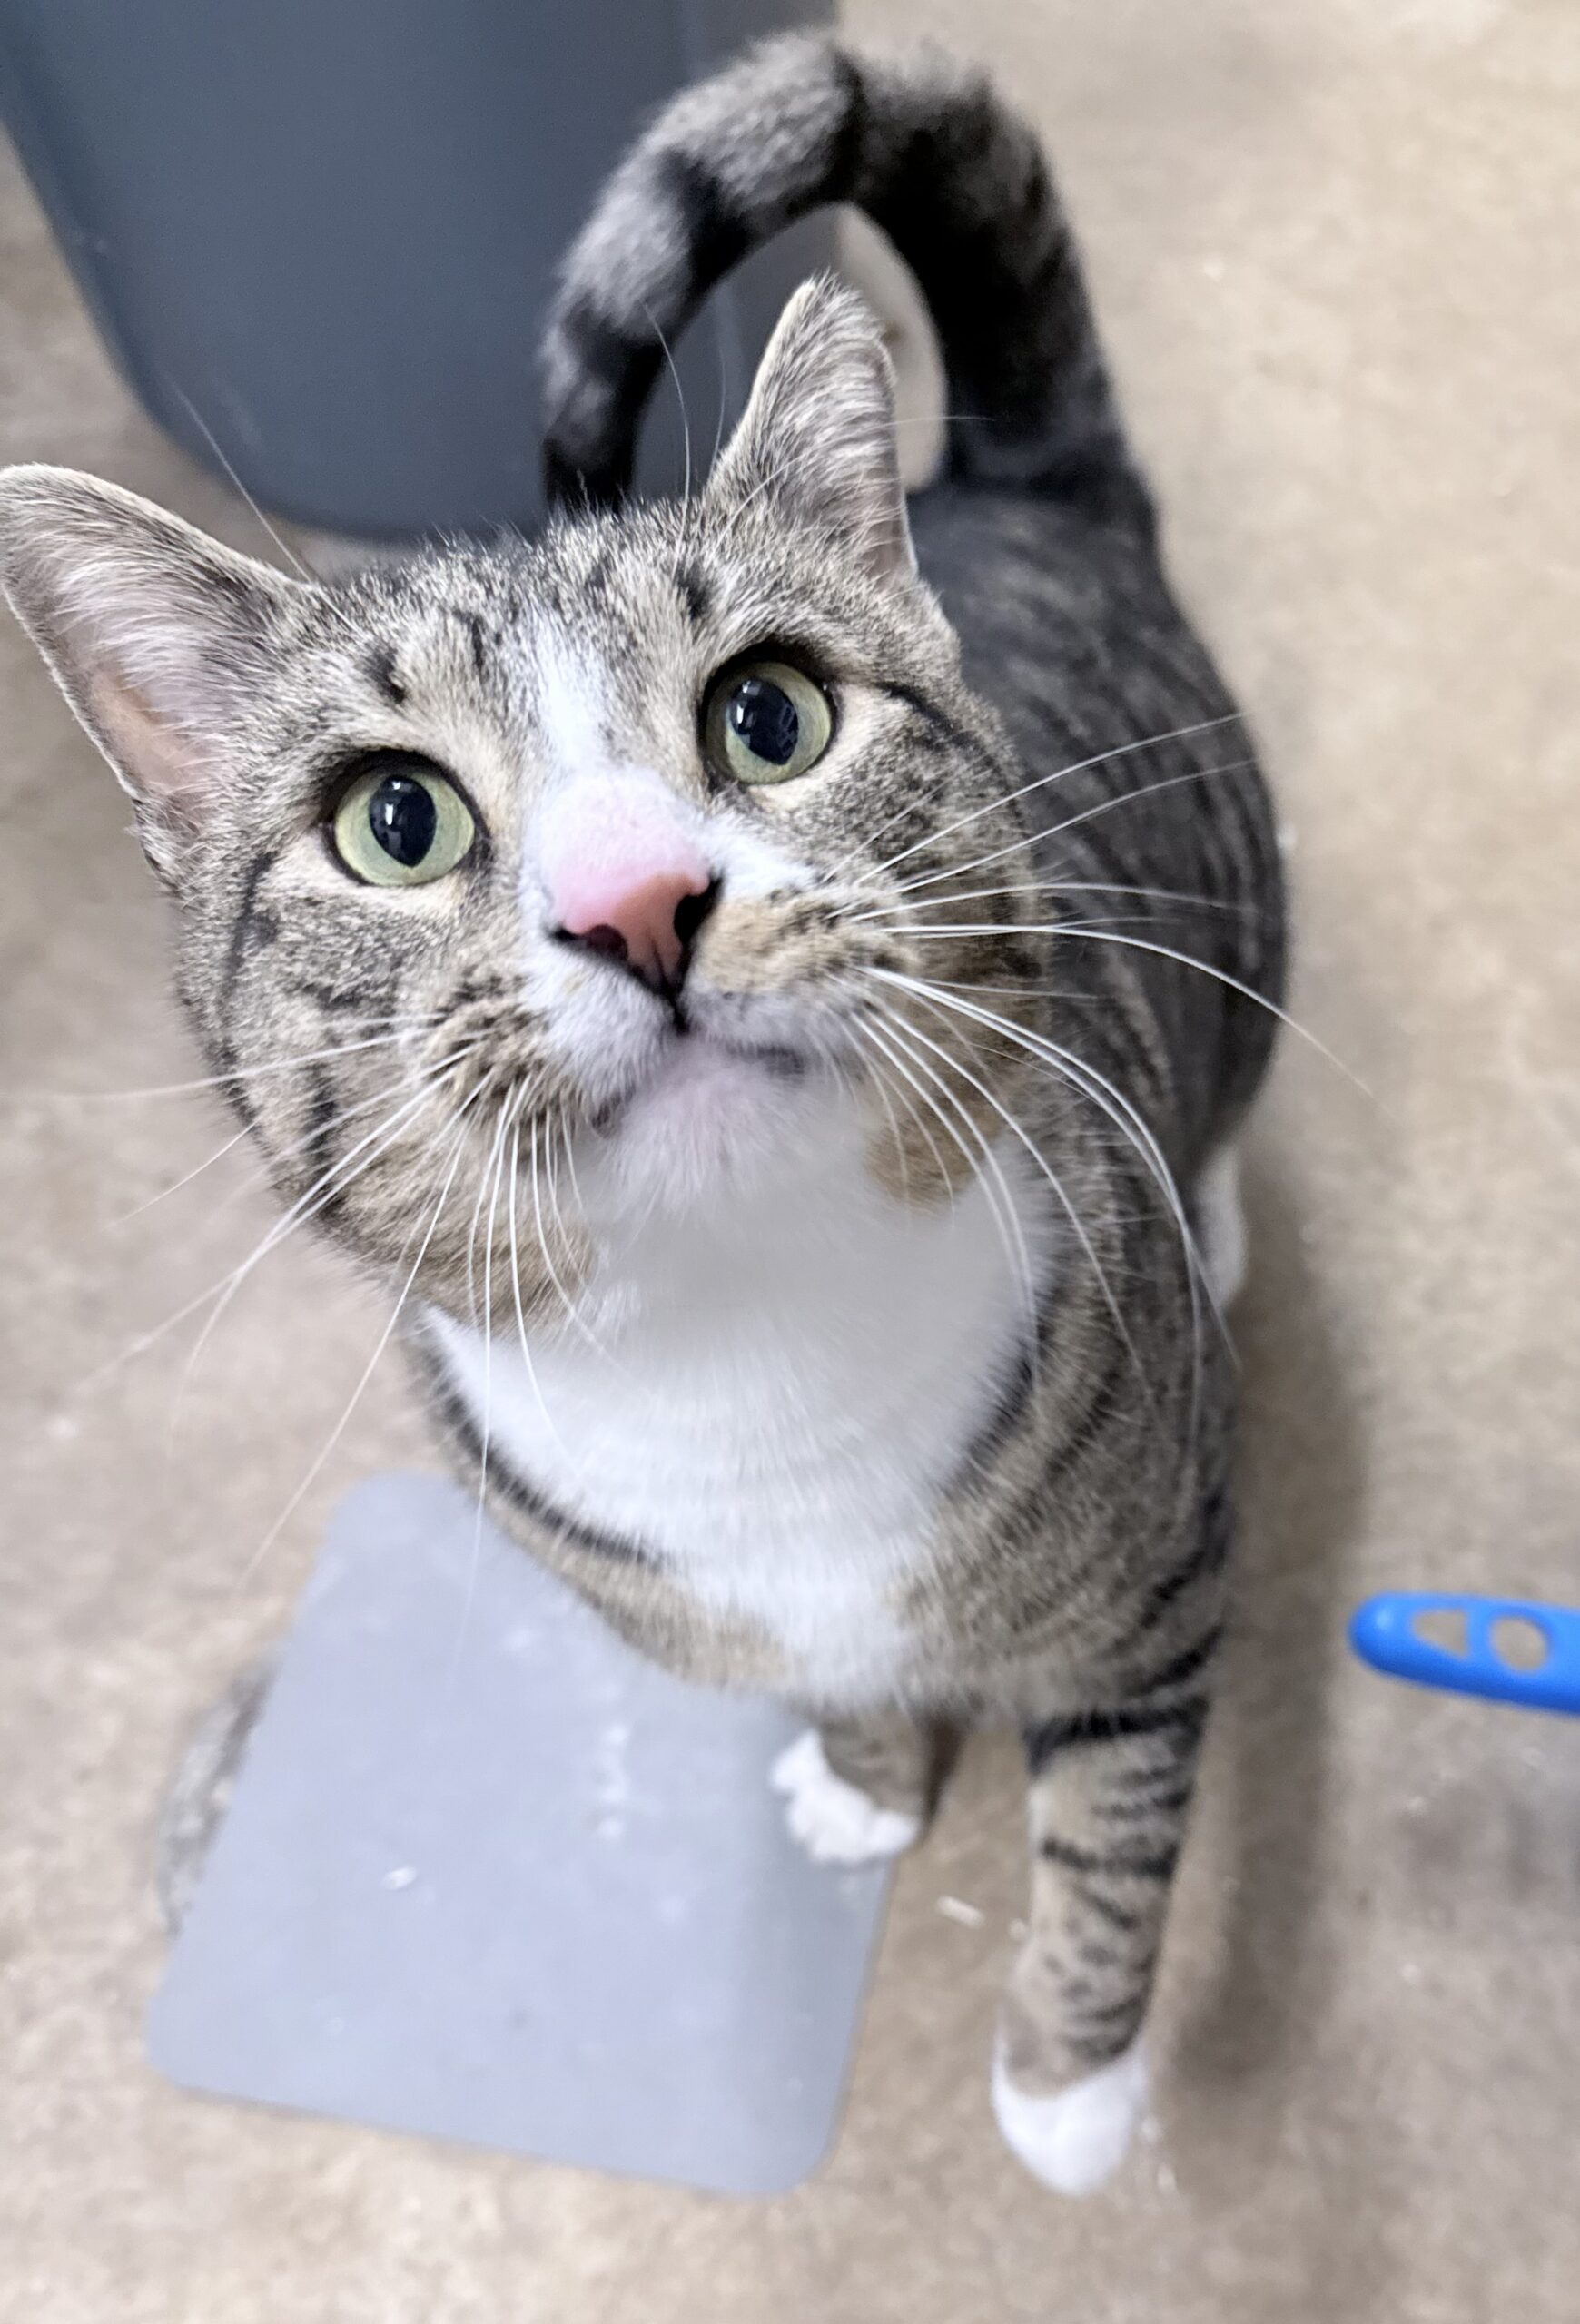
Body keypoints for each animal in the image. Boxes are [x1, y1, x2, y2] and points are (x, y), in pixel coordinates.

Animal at [0, 34, 1285, 2194]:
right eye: (396, 820)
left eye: (771, 715)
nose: (636, 901)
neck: (746, 1352)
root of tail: (1009, 475)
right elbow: (843, 1693)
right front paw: (867, 1773)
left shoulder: (1165, 1583)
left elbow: (1112, 1843)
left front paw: (1068, 2087)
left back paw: (1222, 1209)